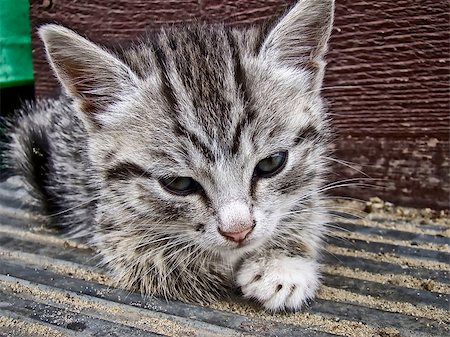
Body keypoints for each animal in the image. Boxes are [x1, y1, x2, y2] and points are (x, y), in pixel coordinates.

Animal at [4, 0, 334, 310]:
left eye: (271, 163)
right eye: (178, 184)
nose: (238, 231)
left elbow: (305, 208)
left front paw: (282, 263)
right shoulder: (112, 222)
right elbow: (156, 258)